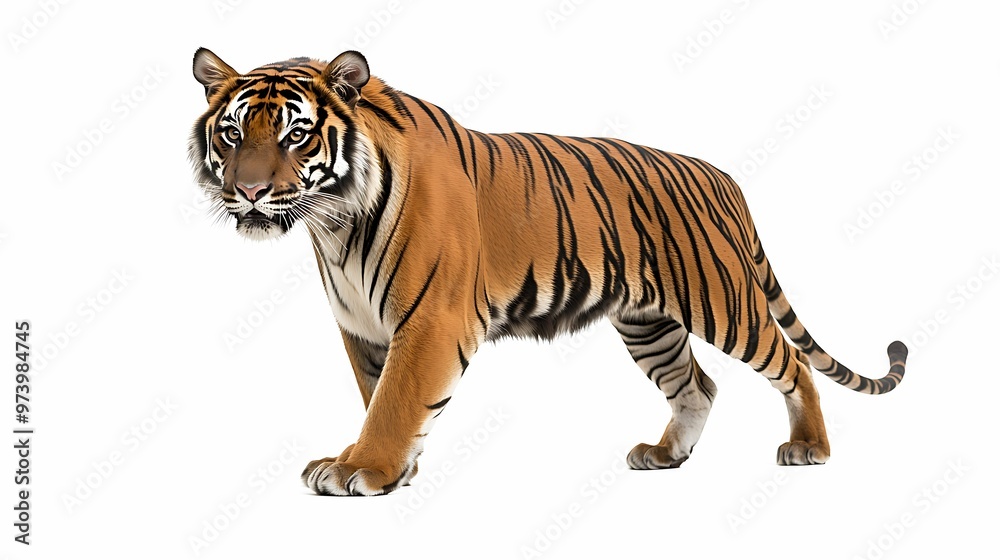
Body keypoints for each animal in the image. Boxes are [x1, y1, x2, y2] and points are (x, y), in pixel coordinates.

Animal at [189, 48, 907, 496]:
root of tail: (721, 177)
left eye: (296, 135)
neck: (334, 222)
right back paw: (665, 455)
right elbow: (377, 395)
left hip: (725, 302)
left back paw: (809, 446)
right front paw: (392, 469)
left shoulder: (431, 321)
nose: (249, 191)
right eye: (233, 134)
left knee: (792, 364)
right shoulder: (363, 328)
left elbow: (395, 401)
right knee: (697, 385)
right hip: (649, 324)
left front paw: (361, 470)